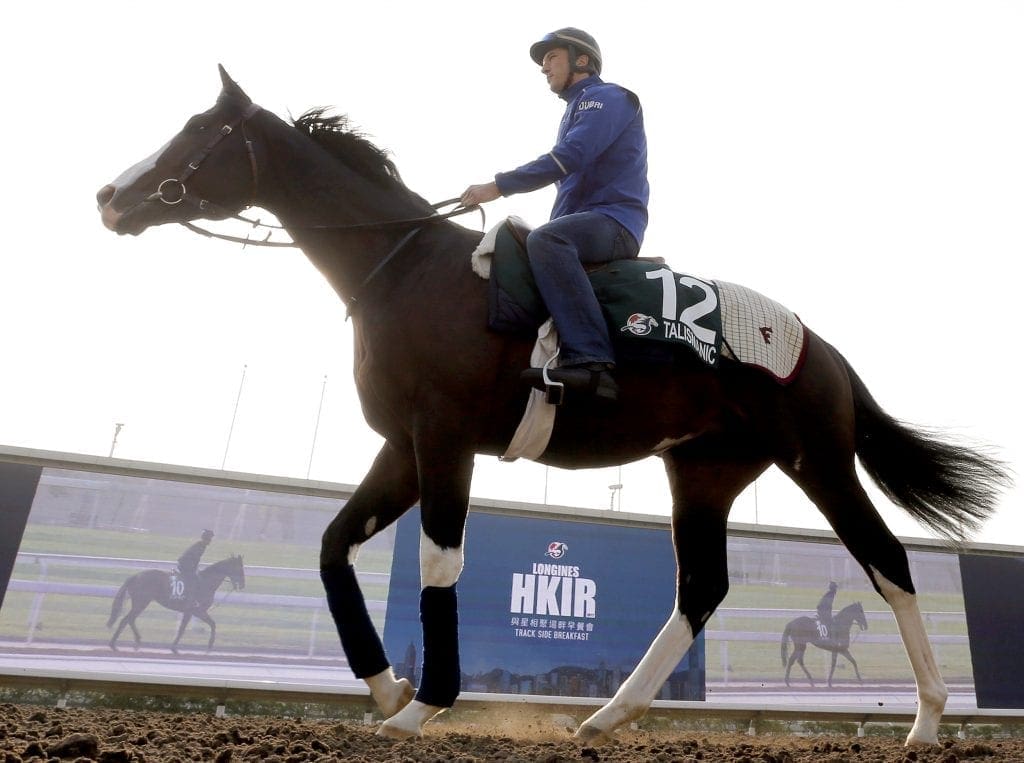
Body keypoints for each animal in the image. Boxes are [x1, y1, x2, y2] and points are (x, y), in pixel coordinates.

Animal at [107, 548, 246, 651]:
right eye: (240, 568)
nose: (243, 585)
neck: (205, 583)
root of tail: (135, 576)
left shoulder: (195, 612)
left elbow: (208, 624)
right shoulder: (195, 610)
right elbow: (188, 628)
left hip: (141, 603)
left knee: (130, 619)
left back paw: (135, 640)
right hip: (141, 602)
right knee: (126, 620)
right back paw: (114, 643)